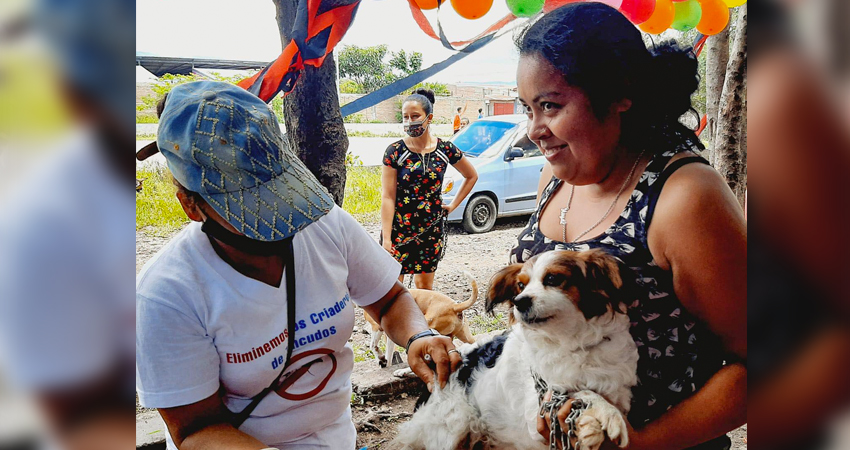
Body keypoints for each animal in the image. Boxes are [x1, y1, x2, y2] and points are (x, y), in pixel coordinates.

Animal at [394, 250, 640, 450]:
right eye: (521, 286)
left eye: (553, 278)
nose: (520, 301)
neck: (571, 343)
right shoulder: (537, 408)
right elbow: (579, 392)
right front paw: (603, 420)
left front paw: (599, 420)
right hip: (455, 426)